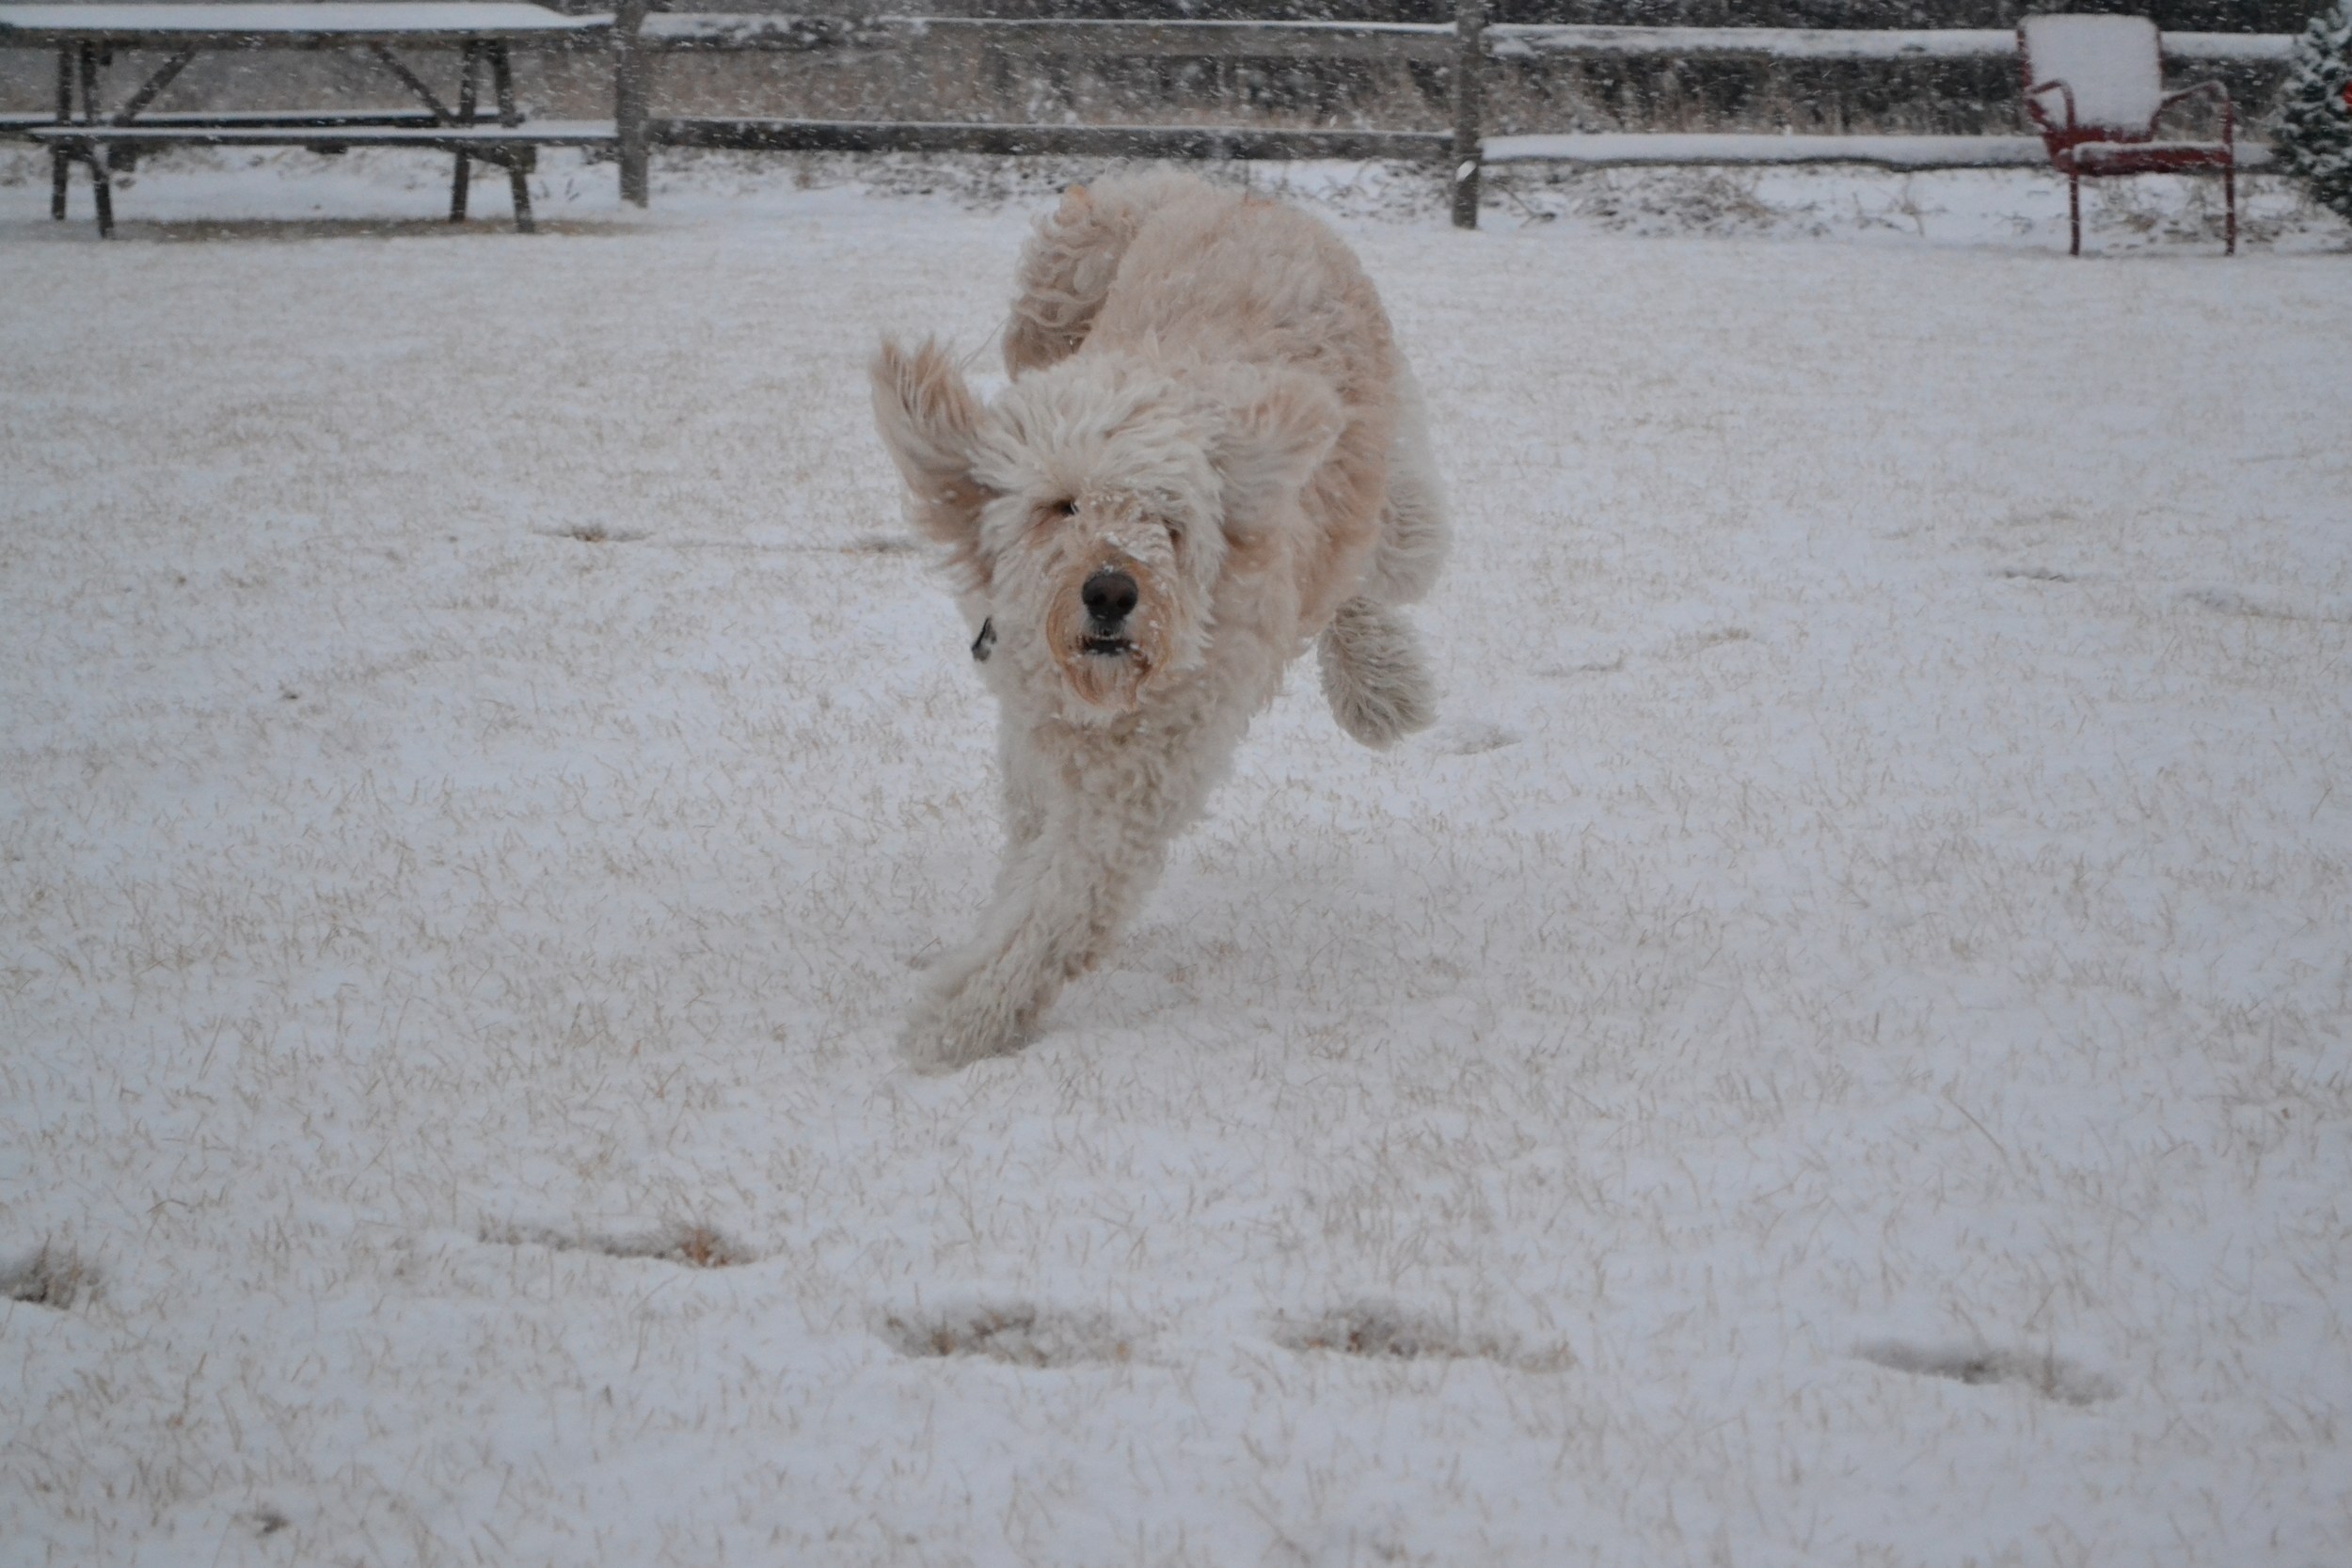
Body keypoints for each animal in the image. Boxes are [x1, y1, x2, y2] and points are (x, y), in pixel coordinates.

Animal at [870, 175, 1439, 1081]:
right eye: (1061, 505)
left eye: (1167, 522)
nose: (1111, 591)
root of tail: (1214, 194)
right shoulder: (1035, 745)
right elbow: (1028, 861)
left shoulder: (1131, 801)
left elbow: (1054, 914)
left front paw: (956, 1023)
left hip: (1400, 497)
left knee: (1377, 562)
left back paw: (1382, 687)